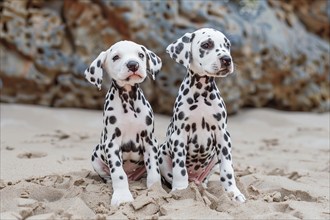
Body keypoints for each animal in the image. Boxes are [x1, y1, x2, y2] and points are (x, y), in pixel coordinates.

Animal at [84, 40, 162, 206]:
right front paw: (122, 197)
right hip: (95, 158)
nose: (133, 64)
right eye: (116, 57)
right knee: (109, 176)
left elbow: (154, 172)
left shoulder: (150, 141)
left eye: (140, 55)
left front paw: (156, 191)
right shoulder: (112, 143)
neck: (128, 99)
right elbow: (118, 174)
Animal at [159, 27, 246, 203]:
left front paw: (233, 193)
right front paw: (181, 191)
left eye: (227, 46)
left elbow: (228, 169)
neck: (201, 94)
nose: (227, 59)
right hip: (162, 153)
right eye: (206, 45)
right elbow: (180, 169)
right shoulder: (179, 136)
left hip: (214, 160)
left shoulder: (223, 135)